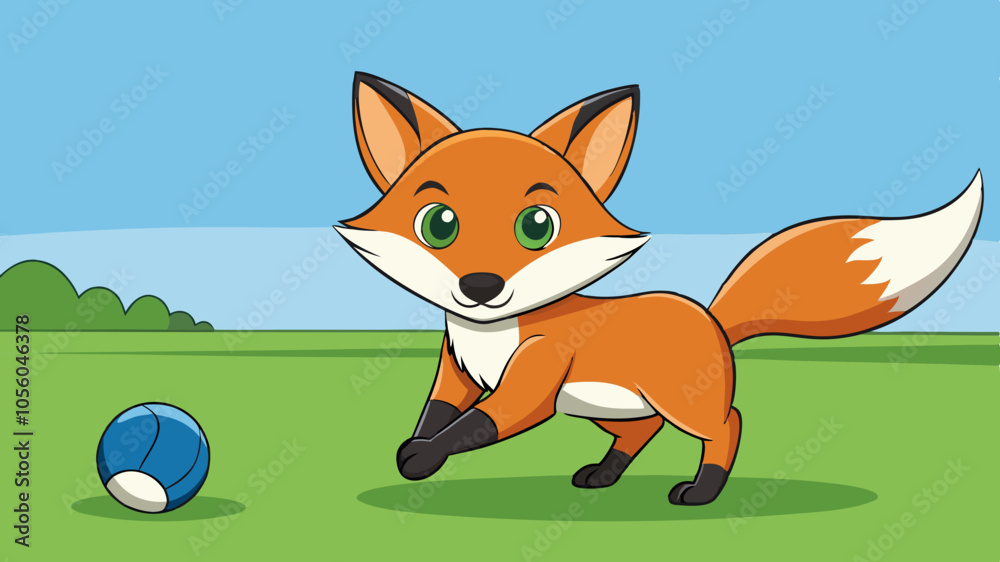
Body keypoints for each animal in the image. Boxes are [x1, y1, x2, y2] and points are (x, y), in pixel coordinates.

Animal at [336, 72, 984, 505]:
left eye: (537, 226)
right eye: (439, 224)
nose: (480, 285)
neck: (489, 334)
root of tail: (712, 316)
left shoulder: (535, 381)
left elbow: (477, 426)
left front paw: (424, 457)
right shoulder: (458, 370)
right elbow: (438, 412)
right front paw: (414, 450)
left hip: (681, 402)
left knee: (730, 423)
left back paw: (703, 490)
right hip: (603, 406)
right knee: (641, 430)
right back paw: (603, 475)